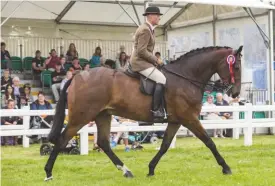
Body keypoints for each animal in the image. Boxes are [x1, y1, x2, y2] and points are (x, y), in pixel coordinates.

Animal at [43, 45, 244, 180]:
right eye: (236, 67)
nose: (235, 93)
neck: (186, 77)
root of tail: (77, 76)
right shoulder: (190, 119)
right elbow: (209, 142)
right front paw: (226, 168)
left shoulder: (176, 121)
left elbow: (164, 145)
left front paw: (151, 169)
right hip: (81, 116)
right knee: (62, 140)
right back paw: (48, 173)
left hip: (103, 115)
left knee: (104, 143)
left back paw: (126, 171)